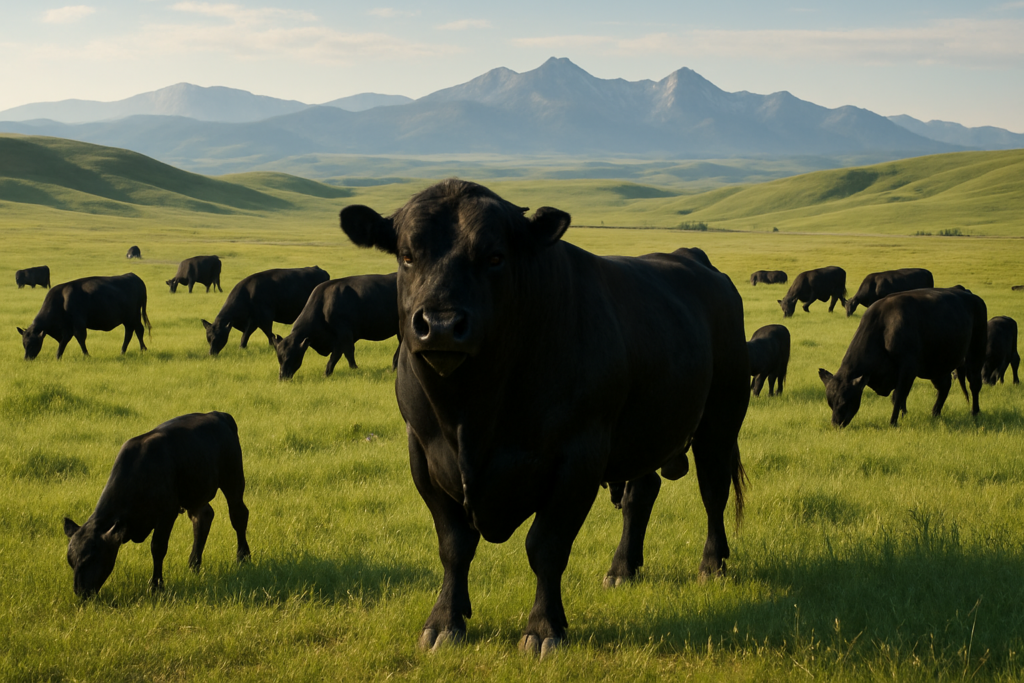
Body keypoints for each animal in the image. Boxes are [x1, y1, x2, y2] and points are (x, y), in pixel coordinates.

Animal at [17, 273, 151, 360]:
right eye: (23, 344)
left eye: (32, 344)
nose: (27, 359)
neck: (61, 300)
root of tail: (135, 277)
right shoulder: (67, 327)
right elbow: (64, 340)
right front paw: (58, 356)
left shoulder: (78, 322)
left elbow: (80, 338)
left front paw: (86, 355)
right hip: (128, 318)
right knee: (131, 331)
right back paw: (124, 351)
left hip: (133, 315)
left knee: (138, 330)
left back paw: (142, 349)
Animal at [62, 412, 250, 598]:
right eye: (71, 561)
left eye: (92, 558)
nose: (81, 592)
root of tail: (219, 414)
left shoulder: (167, 513)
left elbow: (158, 548)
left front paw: (156, 586)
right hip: (195, 492)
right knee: (203, 517)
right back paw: (194, 564)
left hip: (233, 478)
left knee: (238, 514)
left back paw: (243, 557)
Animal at [201, 266, 330, 355]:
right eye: (208, 338)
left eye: (218, 337)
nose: (212, 353)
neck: (247, 294)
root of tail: (320, 270)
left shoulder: (262, 318)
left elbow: (256, 334)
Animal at [339, 179, 749, 657]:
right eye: (407, 255)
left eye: (495, 256)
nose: (439, 324)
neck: (470, 416)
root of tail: (695, 258)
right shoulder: (423, 454)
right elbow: (454, 546)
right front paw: (444, 621)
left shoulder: (578, 457)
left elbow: (546, 547)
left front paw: (543, 628)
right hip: (644, 433)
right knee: (641, 493)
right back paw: (622, 568)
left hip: (720, 420)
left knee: (713, 491)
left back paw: (712, 565)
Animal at [818, 286, 987, 428]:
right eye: (830, 402)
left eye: (844, 401)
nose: (836, 423)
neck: (884, 327)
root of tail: (970, 294)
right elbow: (901, 397)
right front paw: (904, 415)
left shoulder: (908, 368)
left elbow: (898, 396)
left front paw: (894, 422)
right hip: (937, 364)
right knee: (944, 387)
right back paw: (935, 413)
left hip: (976, 352)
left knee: (974, 383)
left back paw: (975, 412)